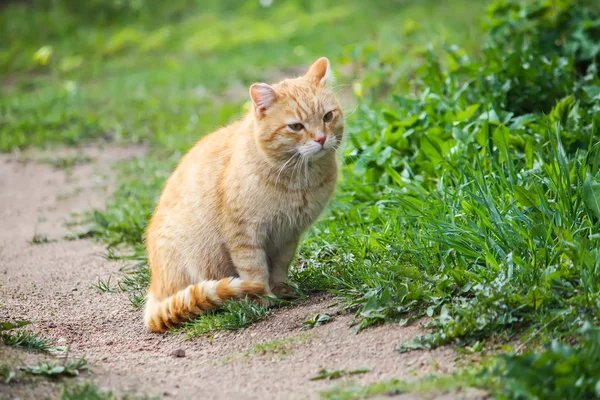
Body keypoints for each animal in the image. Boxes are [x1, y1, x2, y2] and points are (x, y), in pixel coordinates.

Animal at [143, 56, 344, 332]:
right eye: (296, 126)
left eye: (327, 116)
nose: (322, 138)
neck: (299, 180)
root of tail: (154, 290)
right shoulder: (244, 233)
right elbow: (254, 269)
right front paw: (263, 297)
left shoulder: (288, 234)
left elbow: (280, 266)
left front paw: (281, 290)